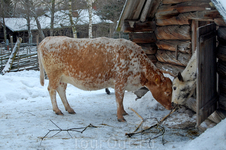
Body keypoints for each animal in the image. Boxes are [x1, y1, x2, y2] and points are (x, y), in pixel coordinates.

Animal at [37, 36, 171, 122]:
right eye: (167, 92)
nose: (172, 106)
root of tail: (47, 39)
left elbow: (121, 100)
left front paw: (124, 112)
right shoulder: (120, 81)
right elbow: (119, 99)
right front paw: (120, 117)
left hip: (62, 78)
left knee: (61, 90)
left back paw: (69, 109)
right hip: (54, 74)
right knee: (52, 89)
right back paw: (57, 110)